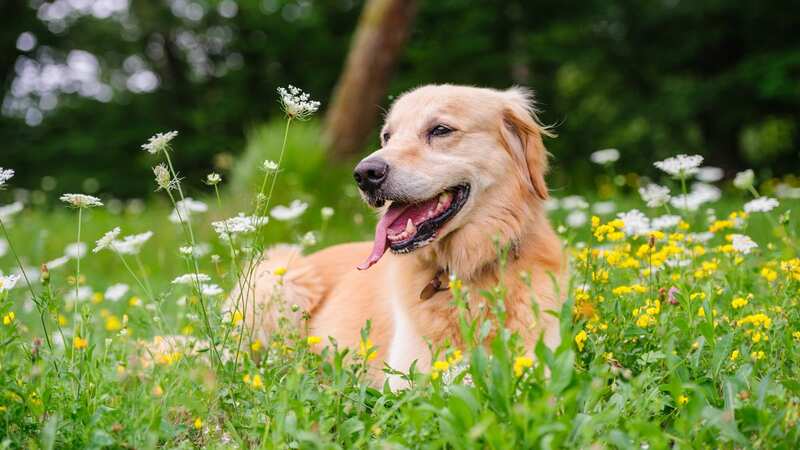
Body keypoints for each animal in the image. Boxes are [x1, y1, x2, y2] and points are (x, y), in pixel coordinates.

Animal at [233, 84, 568, 386]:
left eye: (440, 130)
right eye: (387, 136)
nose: (364, 174)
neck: (464, 272)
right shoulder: (407, 378)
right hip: (281, 278)